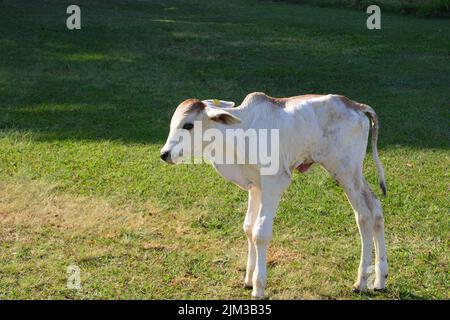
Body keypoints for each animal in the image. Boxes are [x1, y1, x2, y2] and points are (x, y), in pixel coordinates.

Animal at [161, 92, 386, 300]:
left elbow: (260, 233)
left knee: (364, 215)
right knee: (375, 207)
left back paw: (361, 282)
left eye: (188, 125)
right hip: (355, 174)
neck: (240, 133)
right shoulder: (256, 187)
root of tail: (356, 106)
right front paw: (248, 280)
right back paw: (380, 279)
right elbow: (248, 228)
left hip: (345, 172)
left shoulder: (274, 184)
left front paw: (258, 287)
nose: (164, 154)